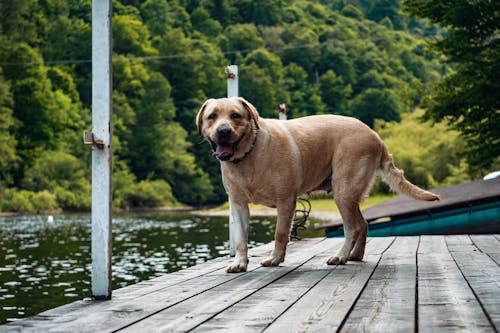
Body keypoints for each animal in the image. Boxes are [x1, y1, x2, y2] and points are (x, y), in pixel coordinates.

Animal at [197, 96, 440, 272]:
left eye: (235, 115)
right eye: (212, 116)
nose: (223, 131)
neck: (248, 155)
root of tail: (377, 137)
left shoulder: (286, 201)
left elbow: (280, 234)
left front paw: (275, 259)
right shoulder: (238, 204)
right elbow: (240, 238)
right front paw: (239, 263)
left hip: (343, 189)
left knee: (353, 227)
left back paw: (341, 256)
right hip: (349, 193)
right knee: (363, 224)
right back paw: (354, 255)